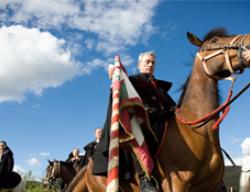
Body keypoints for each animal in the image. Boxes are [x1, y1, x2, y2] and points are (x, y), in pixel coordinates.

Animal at [65, 27, 250, 191]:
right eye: (215, 40)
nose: (248, 42)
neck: (196, 130)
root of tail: (89, 167)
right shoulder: (177, 185)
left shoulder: (210, 187)